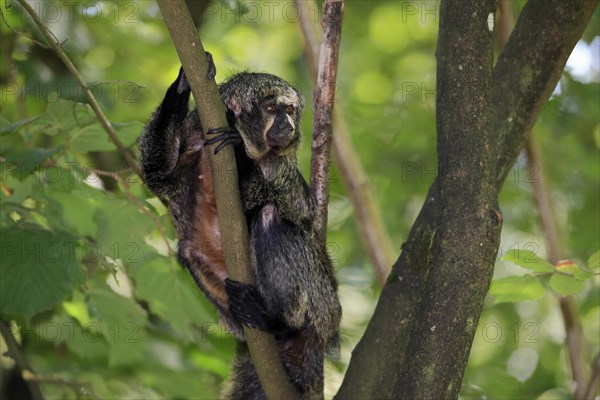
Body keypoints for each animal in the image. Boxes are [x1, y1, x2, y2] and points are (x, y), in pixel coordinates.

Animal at [138, 57, 340, 400]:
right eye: (272, 108)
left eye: (290, 109)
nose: (287, 123)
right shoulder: (192, 136)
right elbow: (157, 177)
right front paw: (182, 86)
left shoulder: (280, 166)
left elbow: (304, 214)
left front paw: (240, 153)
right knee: (189, 251)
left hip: (325, 306)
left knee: (271, 217)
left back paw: (281, 323)